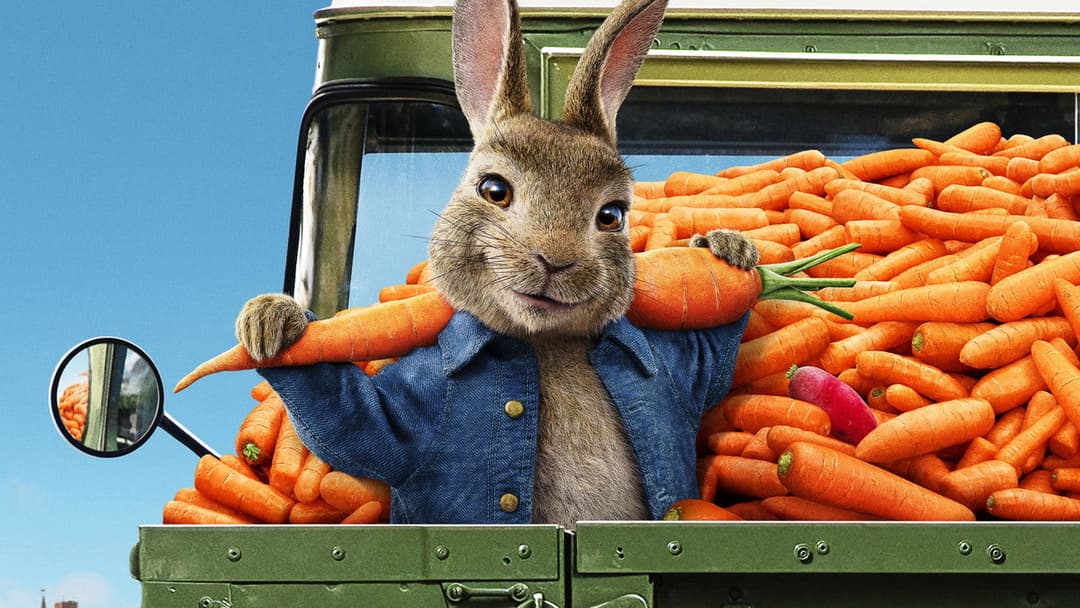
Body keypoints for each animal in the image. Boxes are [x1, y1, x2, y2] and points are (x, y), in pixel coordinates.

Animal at [236, 0, 758, 527]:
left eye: (611, 216)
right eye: (493, 190)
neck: (546, 344)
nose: (555, 260)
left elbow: (711, 358)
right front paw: (270, 320)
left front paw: (727, 247)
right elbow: (355, 424)